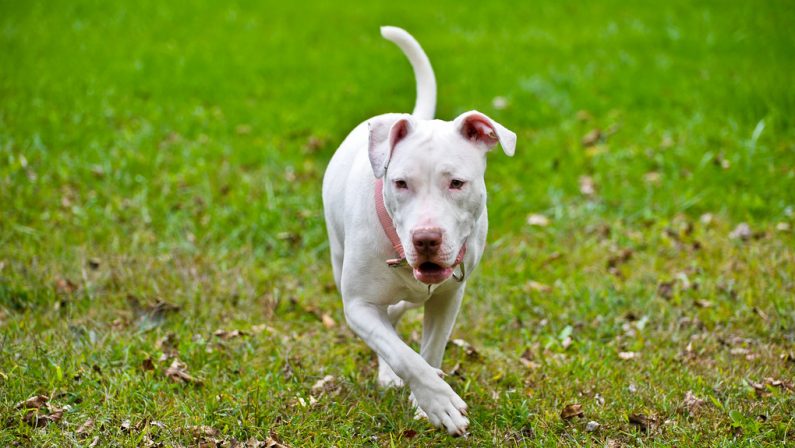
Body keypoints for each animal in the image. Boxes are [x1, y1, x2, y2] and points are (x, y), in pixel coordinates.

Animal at [324, 25, 516, 434]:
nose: (426, 239)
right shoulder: (358, 306)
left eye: (456, 183)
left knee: (398, 312)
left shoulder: (449, 297)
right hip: (338, 254)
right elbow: (404, 356)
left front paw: (425, 404)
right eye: (400, 183)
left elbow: (428, 352)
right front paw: (439, 401)